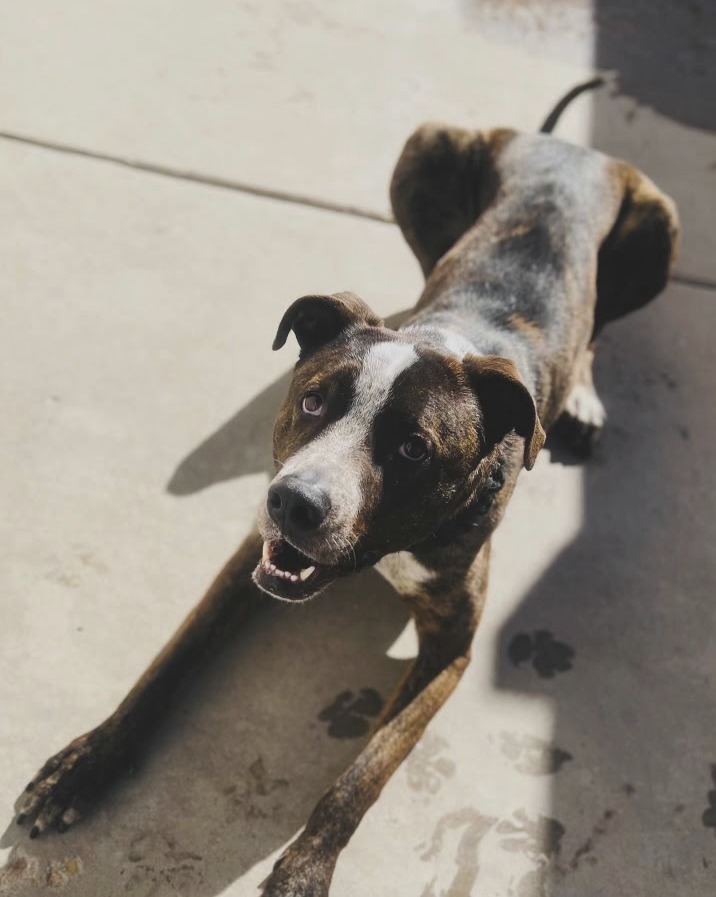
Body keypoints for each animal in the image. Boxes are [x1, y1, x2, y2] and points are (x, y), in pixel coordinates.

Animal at [15, 80, 676, 892]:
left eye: (414, 448)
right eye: (313, 402)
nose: (295, 503)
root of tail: (569, 143)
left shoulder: (453, 647)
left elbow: (362, 775)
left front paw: (304, 868)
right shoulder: (250, 558)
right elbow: (170, 660)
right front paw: (88, 760)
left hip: (659, 227)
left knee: (600, 329)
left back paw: (580, 394)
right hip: (428, 146)